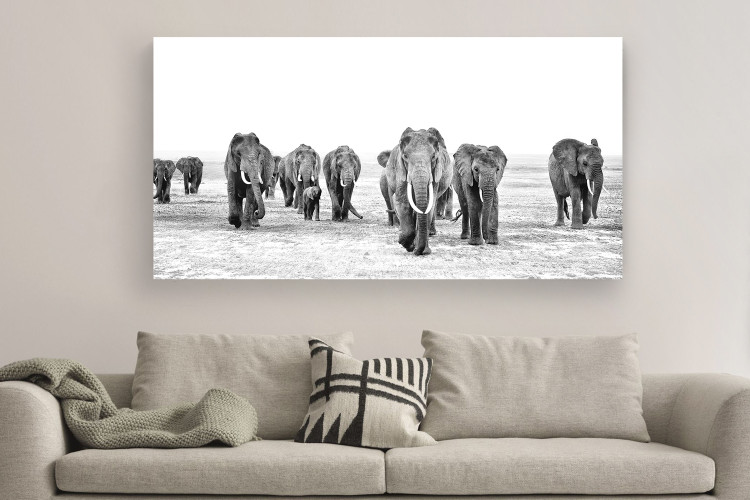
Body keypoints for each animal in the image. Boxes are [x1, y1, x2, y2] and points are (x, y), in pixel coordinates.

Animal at [382, 127, 453, 256]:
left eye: (433, 157)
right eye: (405, 156)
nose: (416, 250)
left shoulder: (435, 173)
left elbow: (429, 204)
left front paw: (420, 250)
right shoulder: (401, 170)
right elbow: (403, 203)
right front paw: (406, 243)